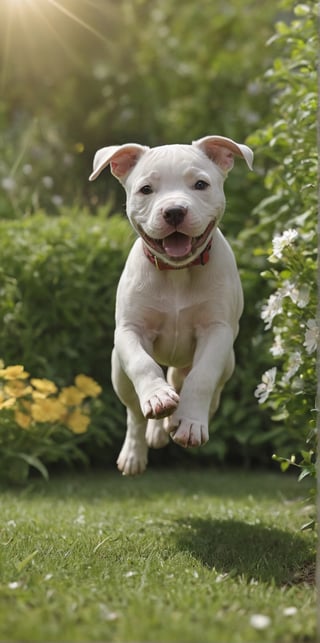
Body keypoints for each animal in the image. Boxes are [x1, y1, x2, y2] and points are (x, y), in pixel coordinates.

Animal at [89, 136, 252, 476]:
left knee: (197, 385)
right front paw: (158, 398)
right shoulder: (130, 331)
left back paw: (175, 423)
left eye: (201, 184)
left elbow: (202, 377)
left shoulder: (217, 332)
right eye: (146, 189)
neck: (177, 272)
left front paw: (189, 423)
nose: (174, 211)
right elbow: (143, 365)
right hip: (117, 371)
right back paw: (138, 448)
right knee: (135, 412)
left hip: (226, 363)